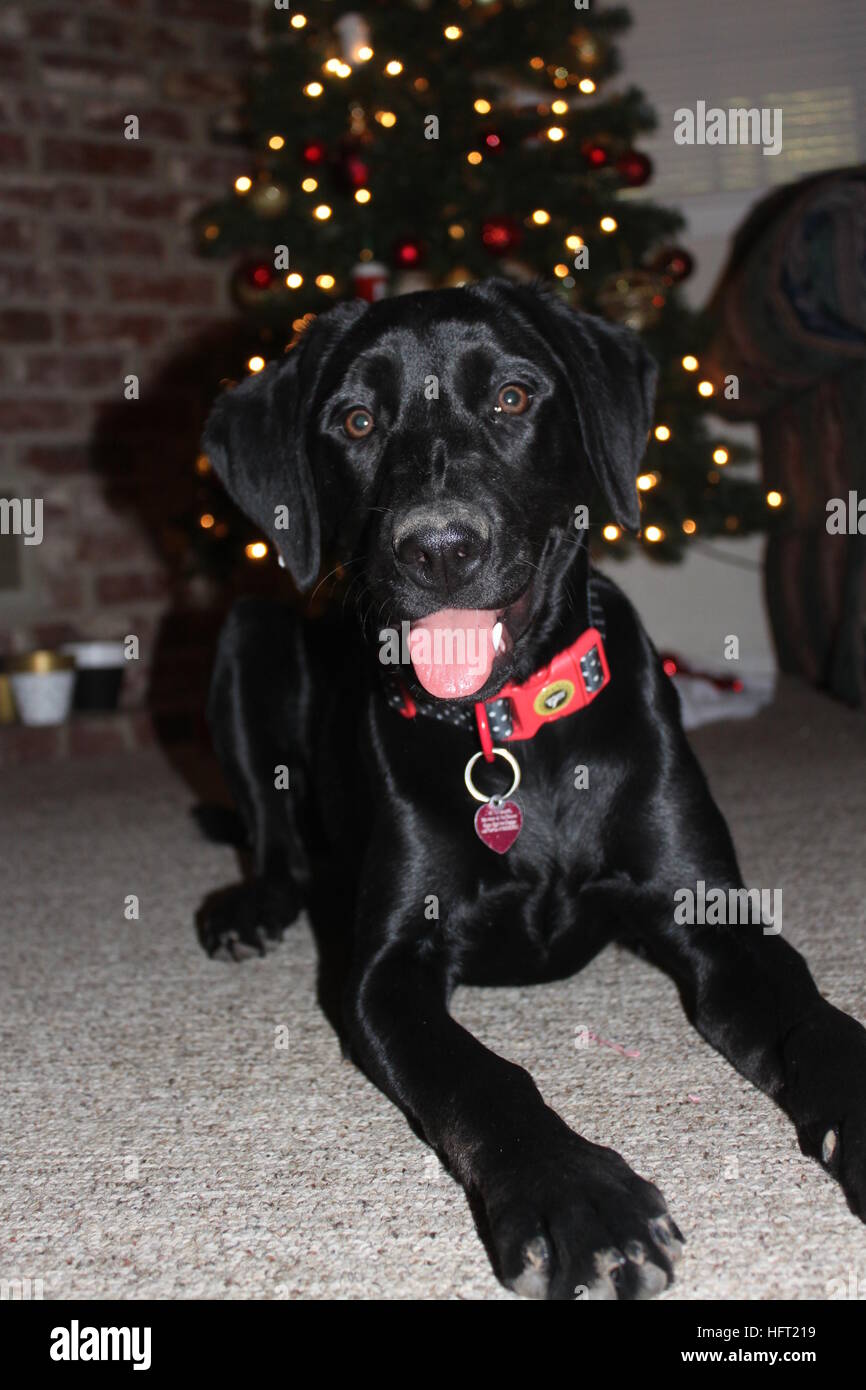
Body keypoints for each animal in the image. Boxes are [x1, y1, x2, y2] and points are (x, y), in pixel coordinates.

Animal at [200, 276, 866, 1295]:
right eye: (356, 421)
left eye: (513, 397)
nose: (439, 547)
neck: (510, 732)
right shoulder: (385, 972)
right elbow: (485, 1077)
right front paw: (576, 1198)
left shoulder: (713, 916)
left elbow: (810, 1016)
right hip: (246, 634)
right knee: (273, 834)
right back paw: (252, 908)